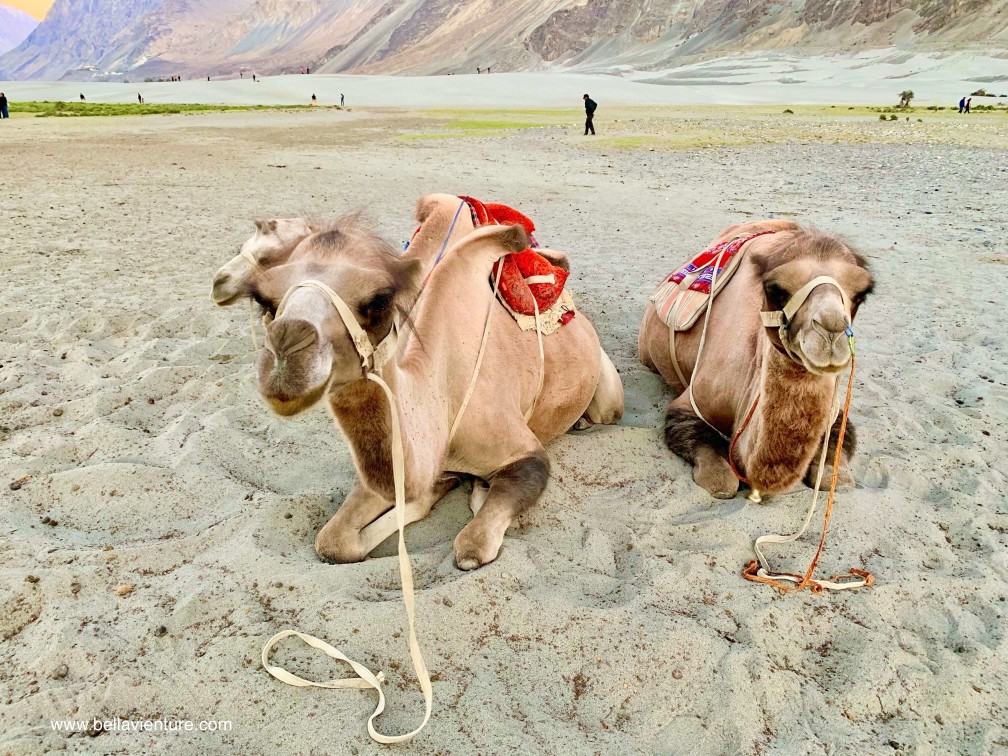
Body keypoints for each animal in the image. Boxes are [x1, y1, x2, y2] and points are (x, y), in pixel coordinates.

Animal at [249, 218, 623, 569]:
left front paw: (472, 491)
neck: (443, 399)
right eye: (263, 299)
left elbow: (472, 548)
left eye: (379, 300)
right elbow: (332, 540)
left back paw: (582, 423)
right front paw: (443, 487)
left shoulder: (525, 454)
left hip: (609, 394)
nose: (285, 352)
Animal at [638, 220, 873, 499]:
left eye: (862, 294)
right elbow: (722, 481)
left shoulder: (836, 412)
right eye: (775, 290)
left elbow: (834, 476)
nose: (832, 331)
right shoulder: (690, 404)